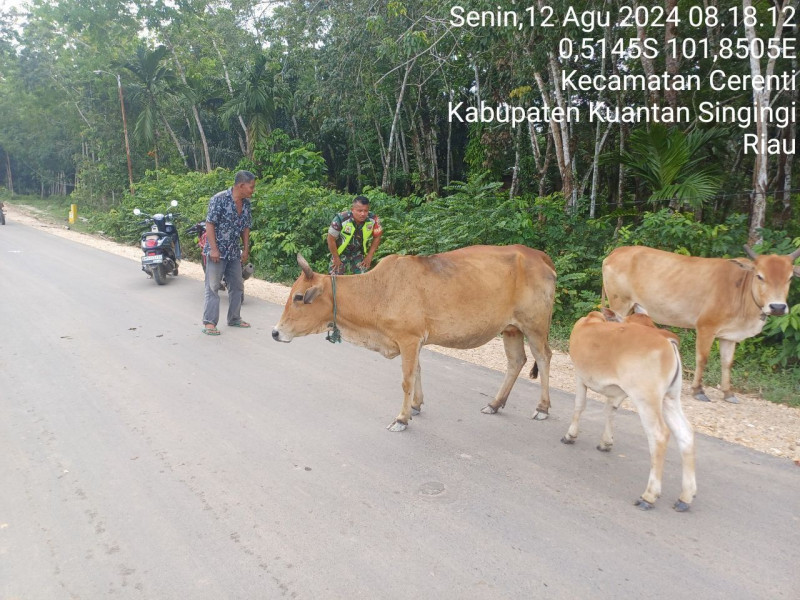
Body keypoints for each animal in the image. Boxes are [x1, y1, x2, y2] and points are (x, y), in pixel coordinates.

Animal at [270, 244, 556, 432]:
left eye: (299, 297)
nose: (275, 332)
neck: (378, 292)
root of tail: (538, 254)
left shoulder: (408, 339)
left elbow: (406, 380)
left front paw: (401, 418)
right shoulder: (414, 341)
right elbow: (418, 371)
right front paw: (416, 406)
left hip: (535, 325)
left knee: (543, 357)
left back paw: (542, 409)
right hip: (511, 328)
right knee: (516, 361)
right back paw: (495, 404)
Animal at [560, 304, 696, 510]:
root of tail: (667, 341)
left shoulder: (580, 375)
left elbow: (579, 405)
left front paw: (570, 435)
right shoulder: (616, 391)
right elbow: (609, 410)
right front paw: (606, 442)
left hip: (646, 399)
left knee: (659, 435)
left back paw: (649, 496)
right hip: (670, 399)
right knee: (685, 433)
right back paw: (685, 497)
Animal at [604, 244, 796, 404]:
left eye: (790, 278)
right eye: (760, 276)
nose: (778, 307)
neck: (741, 289)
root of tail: (617, 252)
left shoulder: (729, 337)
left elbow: (727, 363)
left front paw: (728, 393)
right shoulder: (706, 327)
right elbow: (702, 359)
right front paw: (698, 390)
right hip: (619, 304)